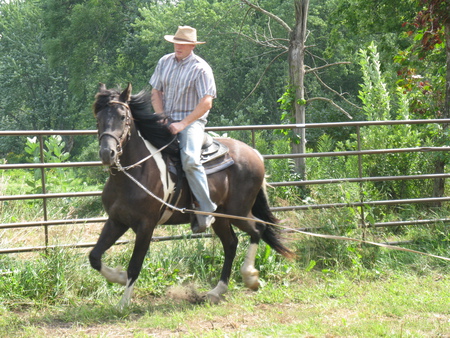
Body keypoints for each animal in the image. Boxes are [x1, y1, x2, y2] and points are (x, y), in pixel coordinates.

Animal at [89, 83, 294, 308]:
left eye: (122, 117)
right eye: (98, 118)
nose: (107, 153)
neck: (136, 173)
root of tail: (254, 153)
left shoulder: (146, 226)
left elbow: (135, 265)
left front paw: (123, 303)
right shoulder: (116, 221)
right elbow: (94, 256)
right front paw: (118, 277)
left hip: (237, 211)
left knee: (258, 229)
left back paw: (250, 277)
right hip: (220, 217)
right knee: (231, 243)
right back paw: (217, 290)